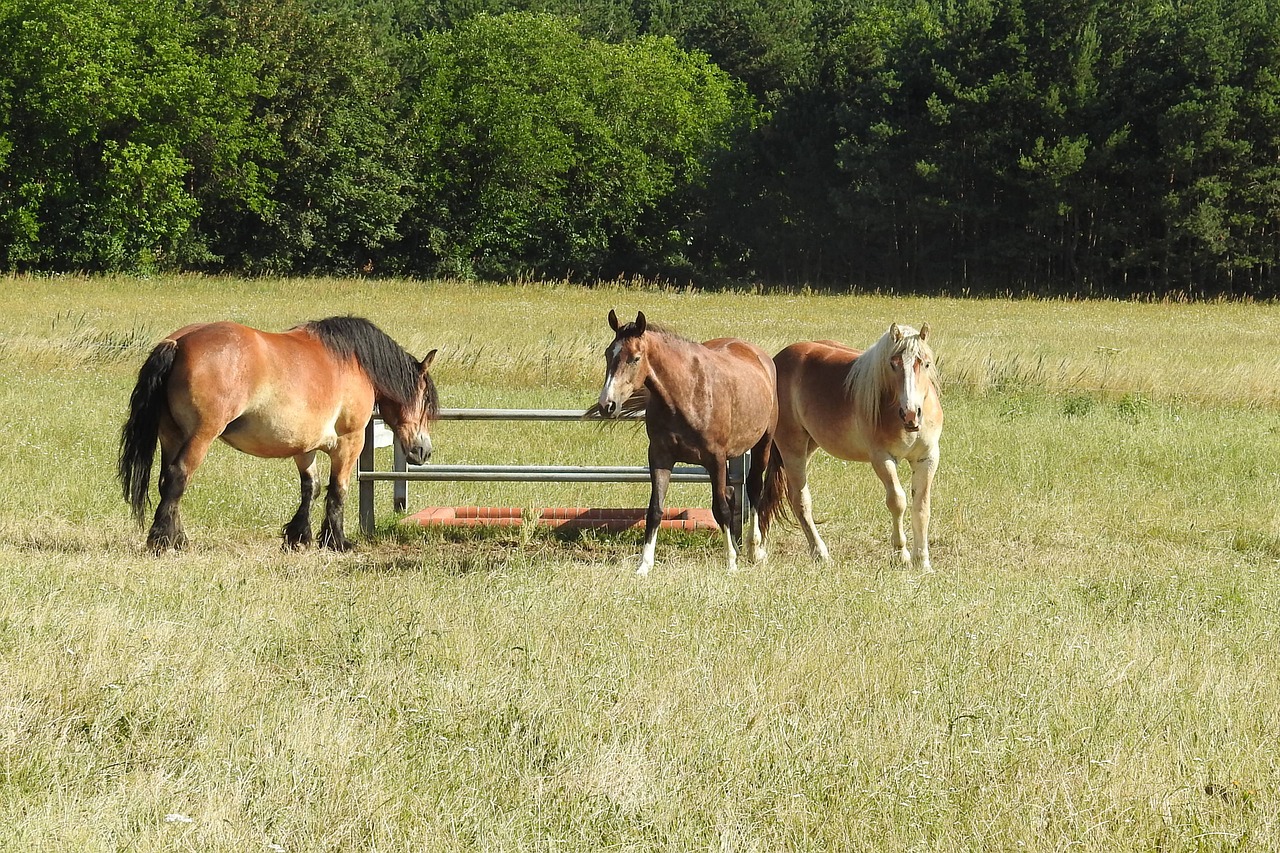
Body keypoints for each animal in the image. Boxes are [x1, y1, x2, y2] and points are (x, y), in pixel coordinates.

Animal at [120, 315, 440, 548]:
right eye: (425, 401)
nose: (423, 451)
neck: (354, 361)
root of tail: (178, 343)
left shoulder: (305, 446)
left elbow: (310, 487)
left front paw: (300, 536)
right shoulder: (350, 441)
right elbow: (338, 490)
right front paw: (336, 540)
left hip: (171, 436)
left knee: (166, 482)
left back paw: (178, 538)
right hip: (200, 436)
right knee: (178, 476)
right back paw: (162, 540)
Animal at [593, 308, 773, 573]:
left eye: (635, 358)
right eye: (608, 354)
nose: (607, 405)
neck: (685, 393)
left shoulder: (715, 459)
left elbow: (720, 508)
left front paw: (731, 563)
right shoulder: (660, 457)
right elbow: (655, 509)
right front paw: (644, 565)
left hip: (763, 444)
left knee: (753, 488)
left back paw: (754, 549)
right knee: (733, 493)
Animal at [757, 322, 942, 568]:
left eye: (926, 363)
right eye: (893, 364)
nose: (910, 414)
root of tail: (777, 361)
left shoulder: (927, 458)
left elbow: (921, 507)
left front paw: (922, 561)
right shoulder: (882, 458)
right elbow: (898, 501)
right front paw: (901, 554)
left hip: (808, 446)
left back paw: (757, 549)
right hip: (791, 447)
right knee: (800, 500)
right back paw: (819, 552)